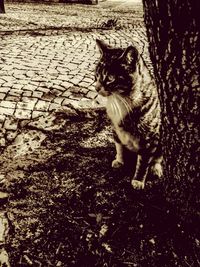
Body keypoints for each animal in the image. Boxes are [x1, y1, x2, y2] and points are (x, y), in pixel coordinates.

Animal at [94, 39, 162, 191]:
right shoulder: (115, 128)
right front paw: (119, 160)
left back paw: (156, 168)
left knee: (158, 157)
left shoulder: (150, 138)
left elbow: (144, 162)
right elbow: (119, 146)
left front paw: (138, 180)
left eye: (110, 78)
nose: (96, 87)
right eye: (97, 74)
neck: (120, 99)